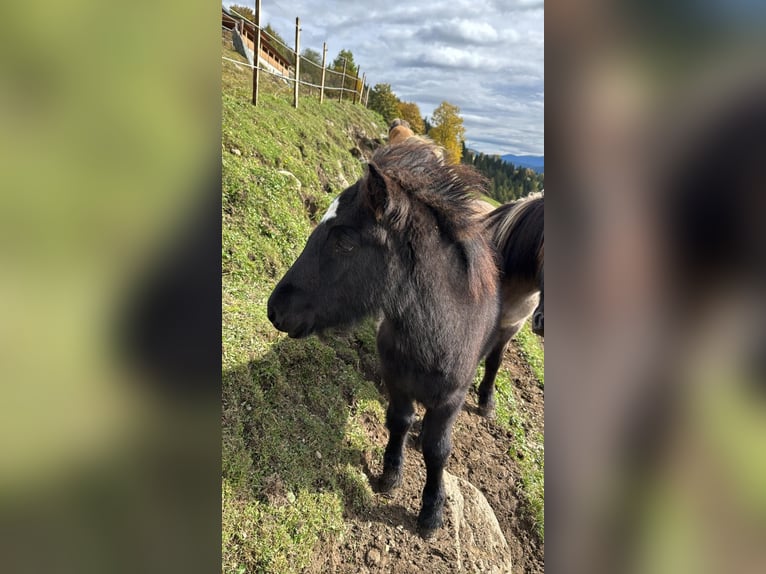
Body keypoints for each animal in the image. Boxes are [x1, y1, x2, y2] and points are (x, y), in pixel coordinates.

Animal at [268, 141, 500, 540]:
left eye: (345, 240)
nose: (275, 309)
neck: (435, 336)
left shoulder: (450, 399)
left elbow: (438, 450)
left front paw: (431, 513)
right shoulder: (396, 378)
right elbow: (399, 421)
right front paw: (390, 475)